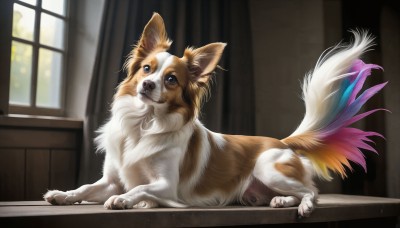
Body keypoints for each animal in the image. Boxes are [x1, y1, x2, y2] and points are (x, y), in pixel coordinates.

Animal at [44, 12, 388, 217]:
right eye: (146, 69)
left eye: (171, 79)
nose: (147, 85)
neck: (144, 123)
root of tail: (282, 142)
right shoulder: (111, 179)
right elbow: (86, 188)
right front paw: (62, 194)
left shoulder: (166, 185)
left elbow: (139, 188)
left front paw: (127, 200)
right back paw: (279, 201)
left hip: (268, 167)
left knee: (311, 192)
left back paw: (302, 206)